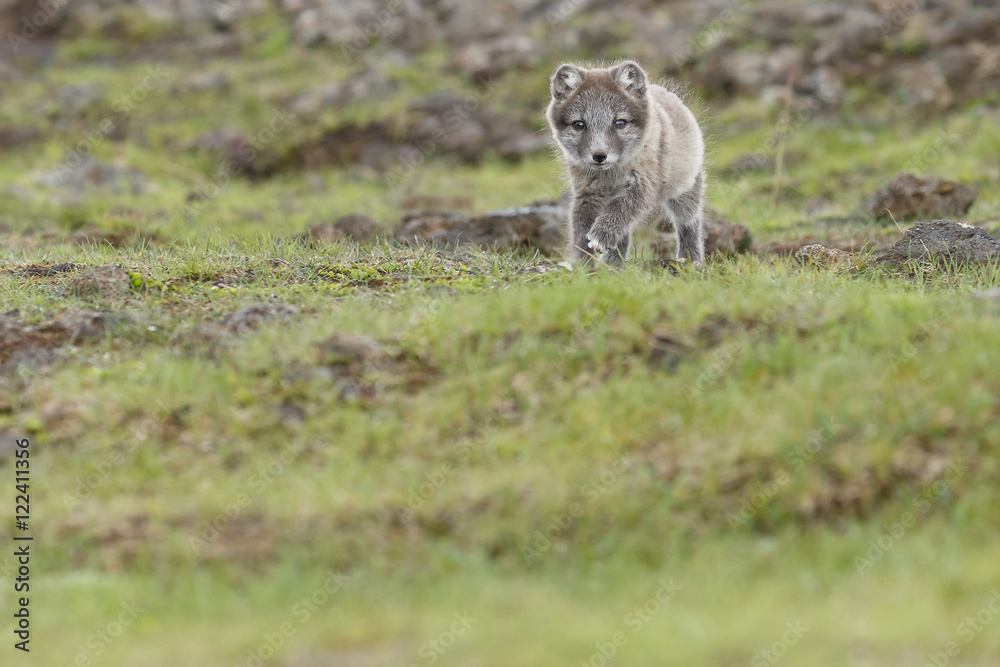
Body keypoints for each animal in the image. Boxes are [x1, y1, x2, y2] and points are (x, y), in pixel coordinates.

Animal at [546, 60, 706, 265]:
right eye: (579, 124)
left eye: (620, 122)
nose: (599, 156)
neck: (610, 176)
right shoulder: (586, 191)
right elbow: (580, 228)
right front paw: (582, 263)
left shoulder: (643, 185)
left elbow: (619, 210)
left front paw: (600, 237)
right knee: (623, 234)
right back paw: (614, 266)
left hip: (685, 190)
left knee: (689, 223)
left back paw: (691, 260)